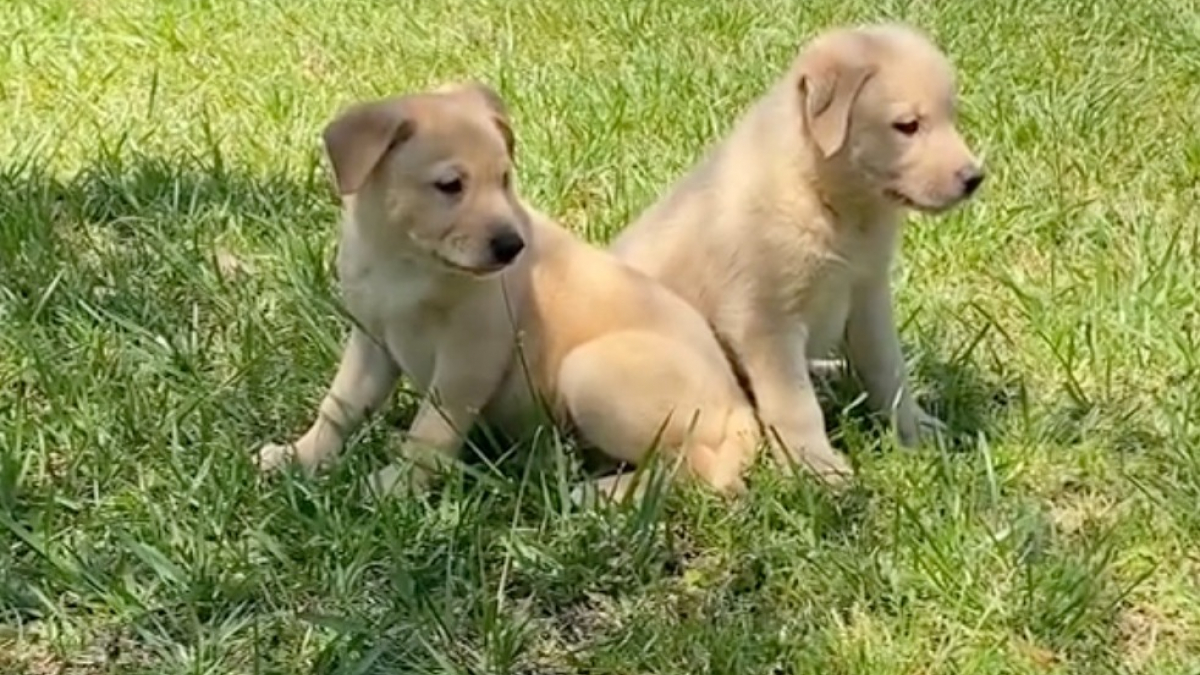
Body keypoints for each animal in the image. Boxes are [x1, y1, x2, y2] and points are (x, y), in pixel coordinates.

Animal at [255, 82, 758, 499]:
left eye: (503, 179)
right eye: (450, 186)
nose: (512, 246)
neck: (407, 263)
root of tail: (741, 407)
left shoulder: (469, 356)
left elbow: (430, 431)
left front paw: (393, 487)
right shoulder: (371, 342)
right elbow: (338, 406)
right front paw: (299, 456)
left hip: (589, 373)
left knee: (700, 469)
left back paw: (597, 495)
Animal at [609, 23, 984, 480]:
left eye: (951, 116)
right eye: (907, 125)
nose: (974, 178)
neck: (831, 203)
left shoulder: (869, 296)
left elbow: (888, 369)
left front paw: (916, 429)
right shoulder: (765, 320)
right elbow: (795, 404)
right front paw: (816, 467)